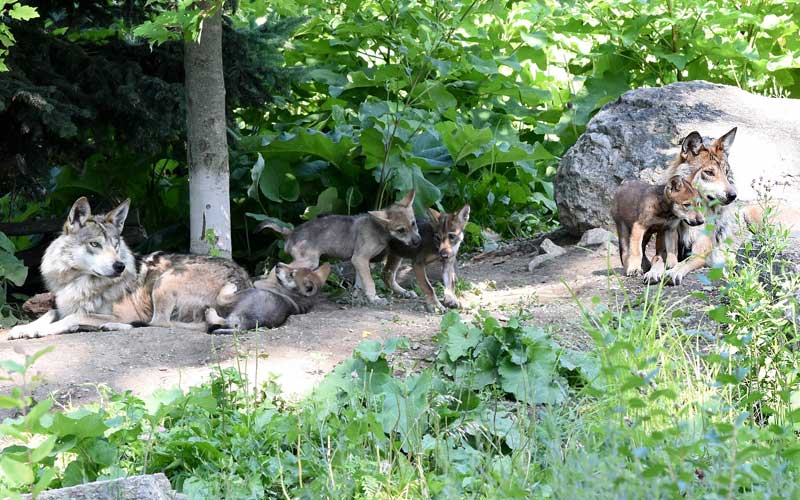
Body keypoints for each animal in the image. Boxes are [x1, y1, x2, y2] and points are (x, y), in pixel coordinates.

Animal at [257, 190, 421, 305]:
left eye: (413, 223)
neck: (379, 229)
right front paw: (375, 299)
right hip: (309, 262)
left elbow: (359, 284)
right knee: (275, 269)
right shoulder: (360, 259)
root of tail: (291, 232)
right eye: (401, 230)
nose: (418, 241)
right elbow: (369, 282)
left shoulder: (359, 261)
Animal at [643, 128, 739, 285]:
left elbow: (684, 262)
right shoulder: (662, 247)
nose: (733, 195)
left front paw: (673, 272)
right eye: (709, 172)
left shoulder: (700, 253)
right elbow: (657, 258)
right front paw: (653, 272)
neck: (687, 220)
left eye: (726, 173)